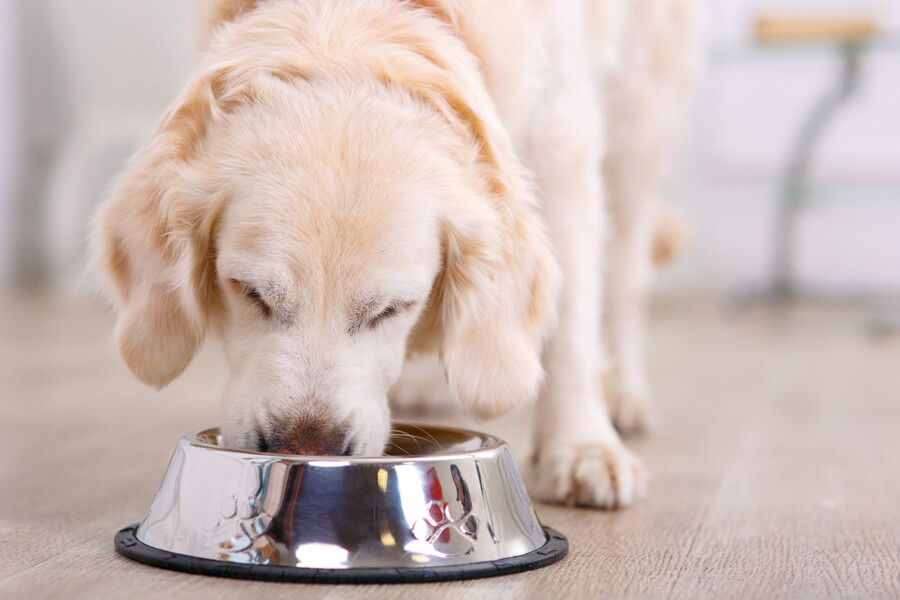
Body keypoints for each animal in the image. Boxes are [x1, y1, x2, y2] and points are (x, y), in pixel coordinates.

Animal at [95, 0, 700, 506]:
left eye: (392, 309)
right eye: (250, 293)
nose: (305, 450)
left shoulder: (562, 135)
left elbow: (572, 316)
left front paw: (580, 447)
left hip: (640, 119)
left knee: (626, 272)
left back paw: (624, 396)